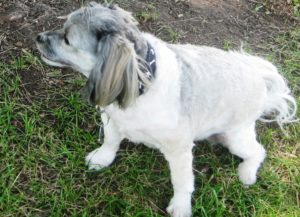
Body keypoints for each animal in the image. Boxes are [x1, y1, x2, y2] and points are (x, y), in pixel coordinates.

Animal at [35, 2, 298, 217]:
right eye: (62, 27)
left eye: (67, 39)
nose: (38, 37)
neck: (140, 84)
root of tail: (259, 79)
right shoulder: (112, 119)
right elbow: (110, 141)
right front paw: (102, 158)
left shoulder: (179, 149)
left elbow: (182, 181)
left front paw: (181, 206)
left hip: (235, 137)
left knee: (258, 151)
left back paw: (247, 172)